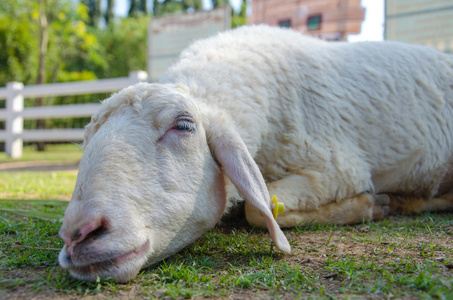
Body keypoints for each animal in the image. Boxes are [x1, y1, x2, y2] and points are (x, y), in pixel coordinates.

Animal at [58, 25, 452, 282]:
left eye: (183, 125)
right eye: (86, 140)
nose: (79, 234)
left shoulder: (336, 168)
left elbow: (254, 210)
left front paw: (370, 205)